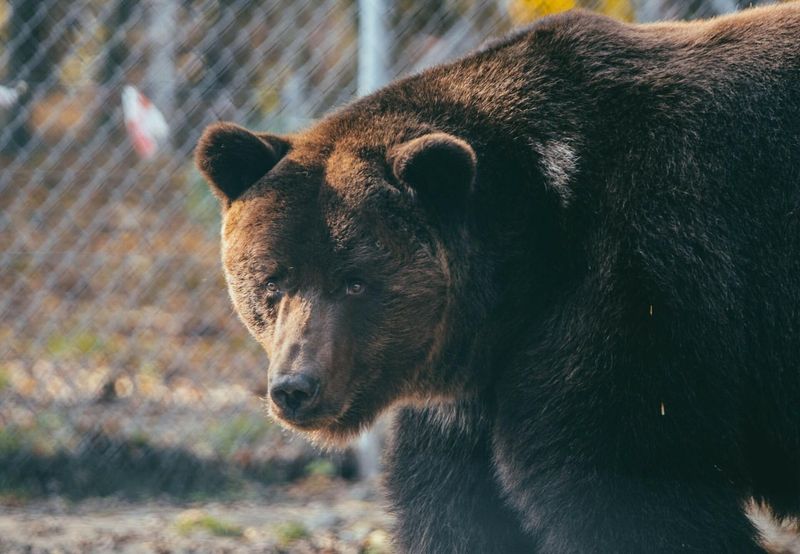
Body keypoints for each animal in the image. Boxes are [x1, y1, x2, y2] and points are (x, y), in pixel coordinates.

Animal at [197, 5, 800, 552]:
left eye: (355, 281)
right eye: (273, 282)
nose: (295, 387)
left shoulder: (642, 297)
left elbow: (629, 489)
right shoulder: (471, 402)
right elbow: (454, 508)